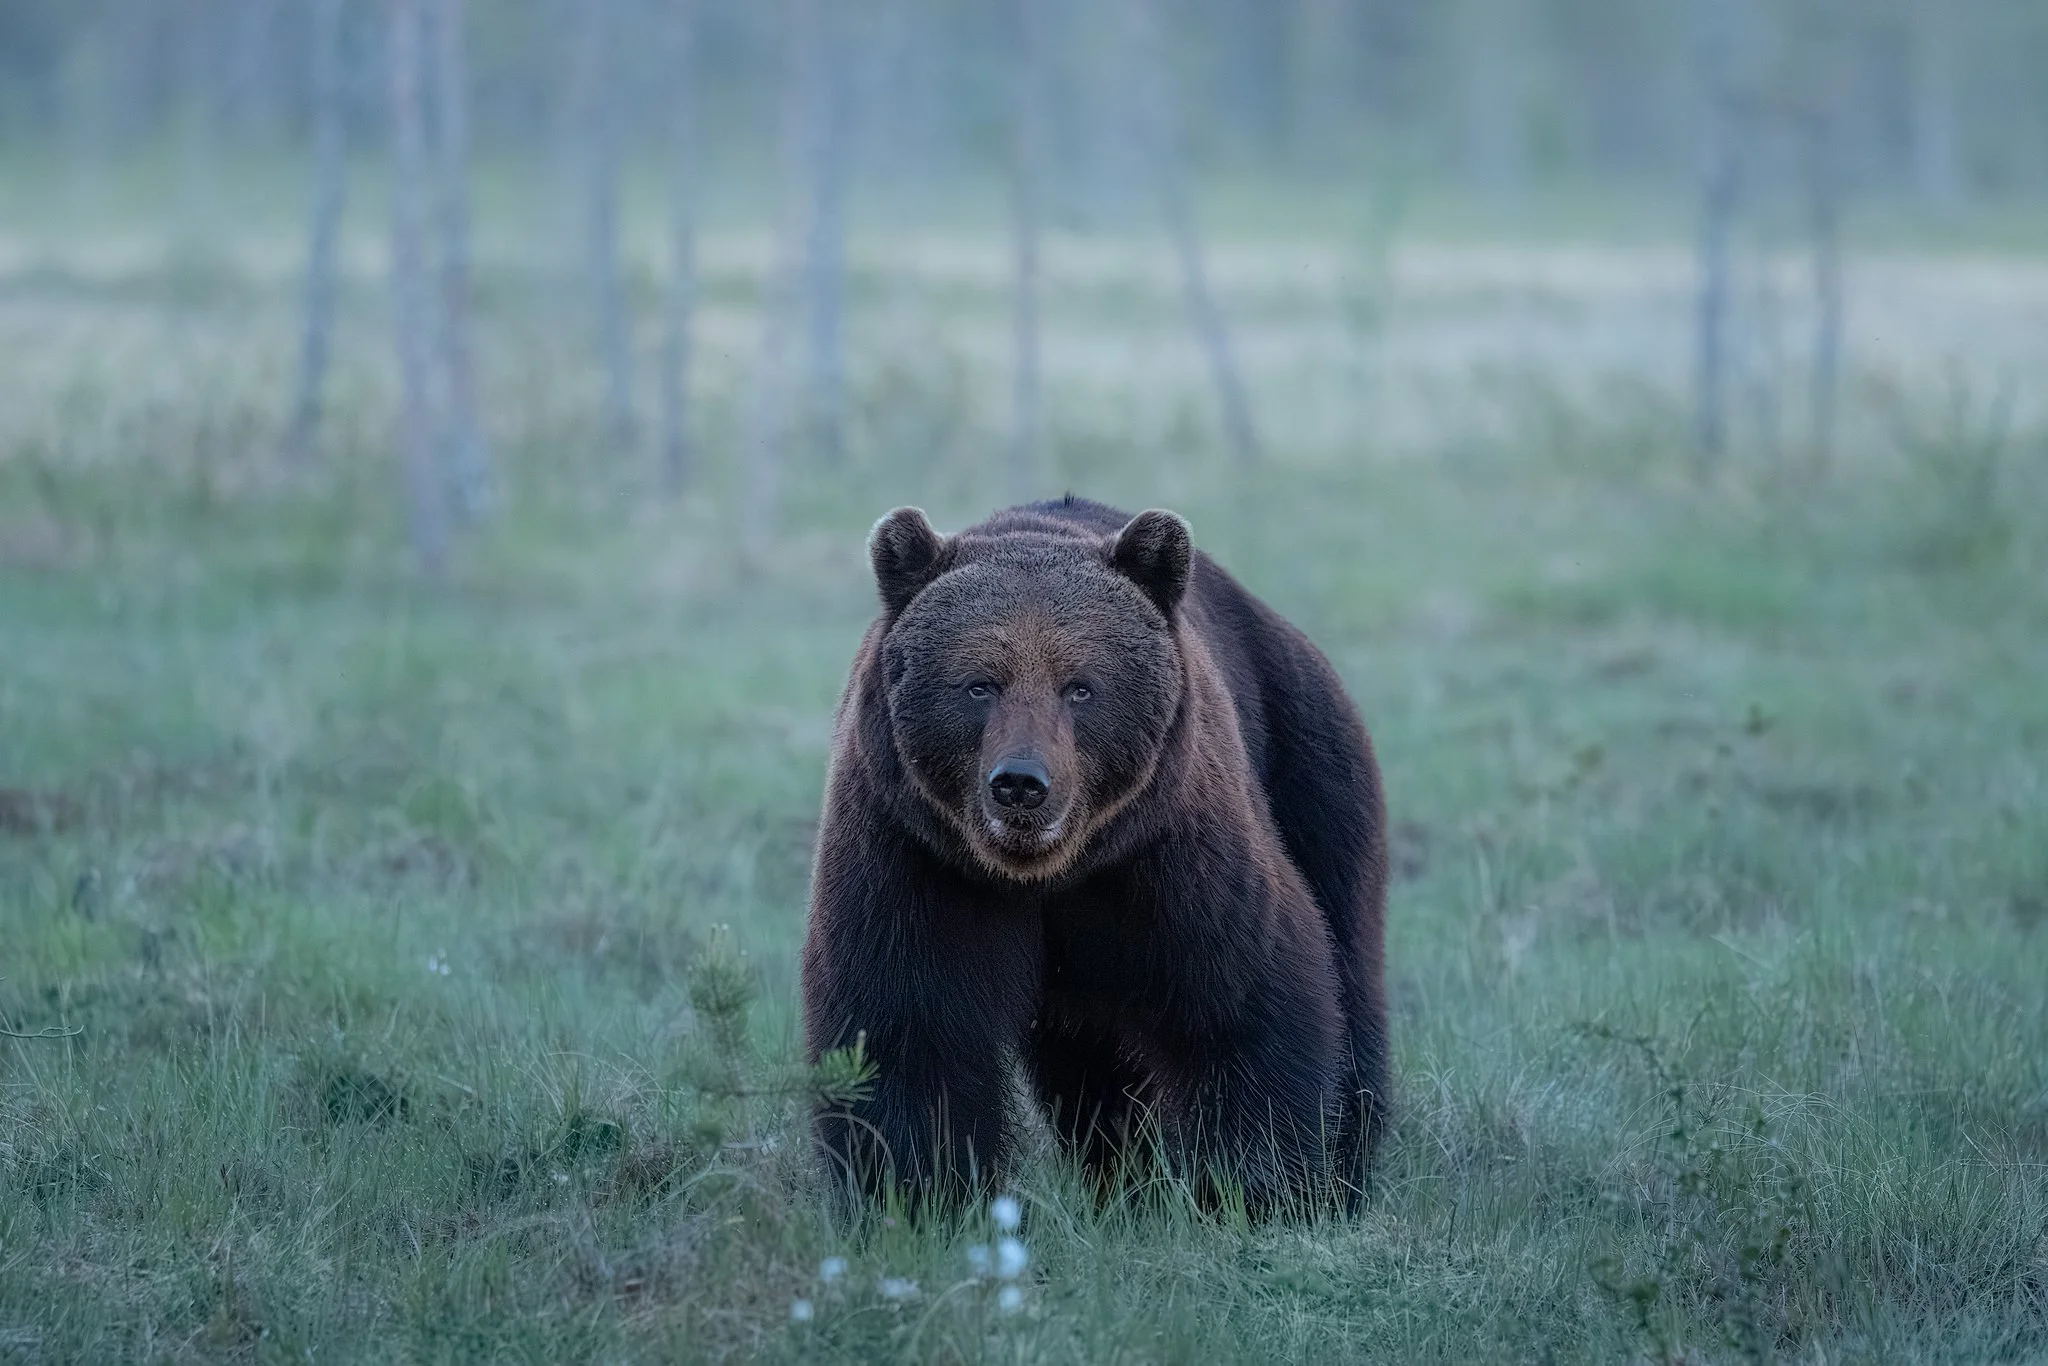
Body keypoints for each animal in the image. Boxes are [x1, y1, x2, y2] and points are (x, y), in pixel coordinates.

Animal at [801, 496, 1389, 1215]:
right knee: (1090, 1066)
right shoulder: (916, 853)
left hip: (1309, 766)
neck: (1050, 874)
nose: (1021, 782)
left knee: (1350, 965)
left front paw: (1256, 1190)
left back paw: (1350, 1164)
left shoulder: (1168, 853)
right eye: (979, 684)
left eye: (1079, 687)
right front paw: (913, 1197)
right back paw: (1121, 1172)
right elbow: (908, 1025)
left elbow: (1241, 996)